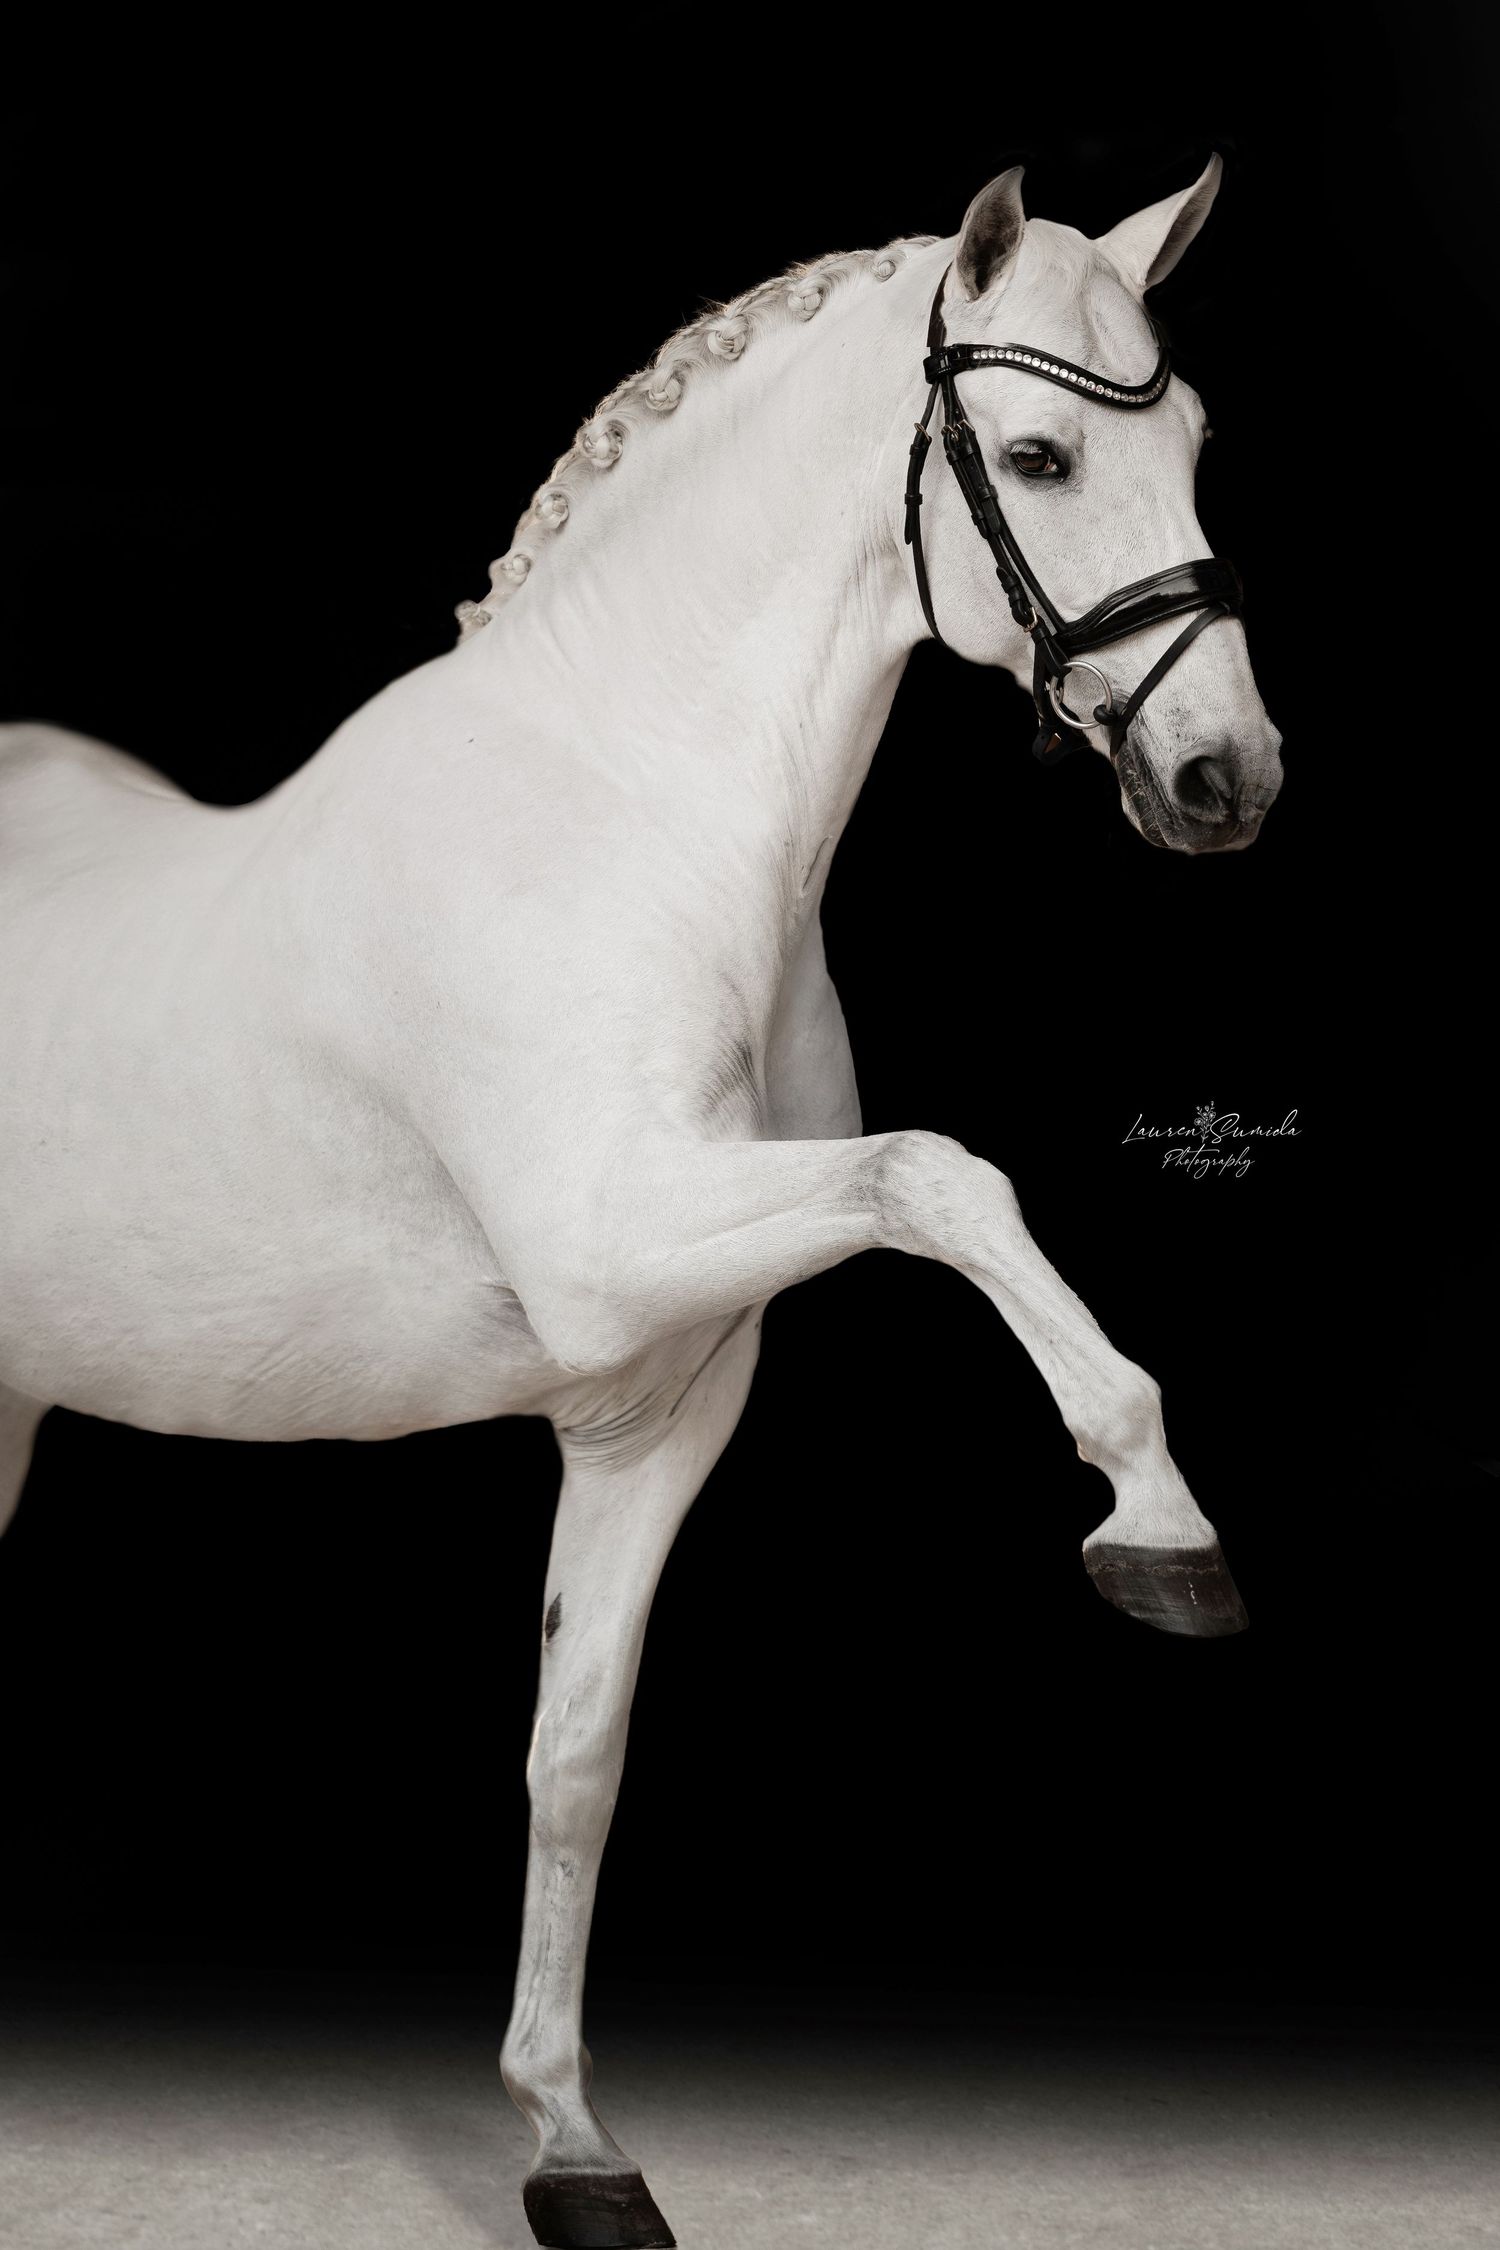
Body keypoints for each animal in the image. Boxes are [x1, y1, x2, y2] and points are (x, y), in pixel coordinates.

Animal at [0, 158, 1281, 2247]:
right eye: (1038, 454)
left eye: (1192, 443)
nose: (1223, 775)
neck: (627, 814)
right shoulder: (615, 1248)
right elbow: (947, 1175)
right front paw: (1157, 1522)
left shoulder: (652, 1404)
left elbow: (576, 1757)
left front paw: (572, 2146)